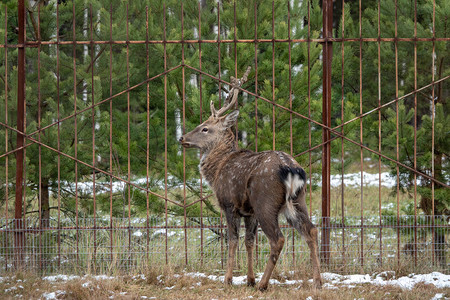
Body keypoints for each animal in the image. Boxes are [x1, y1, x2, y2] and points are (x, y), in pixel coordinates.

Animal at [178, 67, 322, 290]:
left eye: (205, 128)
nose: (182, 138)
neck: (217, 170)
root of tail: (291, 168)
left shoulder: (229, 204)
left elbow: (233, 240)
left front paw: (229, 279)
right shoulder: (249, 212)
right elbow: (249, 241)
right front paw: (249, 279)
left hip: (266, 201)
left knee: (278, 239)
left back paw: (264, 283)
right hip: (298, 199)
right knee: (311, 230)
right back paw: (317, 281)